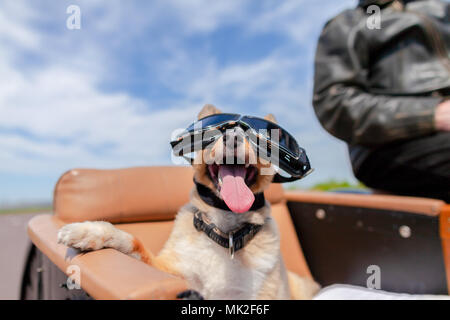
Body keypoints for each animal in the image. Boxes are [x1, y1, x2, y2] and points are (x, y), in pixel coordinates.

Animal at [57, 104, 320, 300]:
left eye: (258, 137)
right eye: (217, 132)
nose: (233, 136)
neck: (225, 232)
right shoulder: (168, 270)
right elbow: (134, 243)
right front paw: (90, 231)